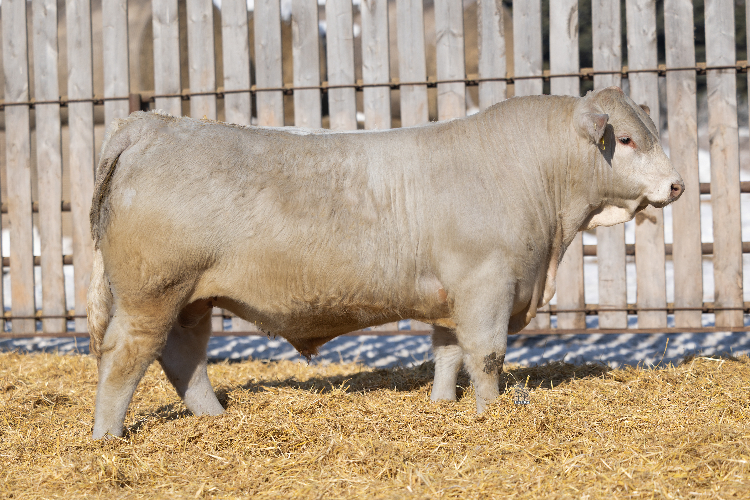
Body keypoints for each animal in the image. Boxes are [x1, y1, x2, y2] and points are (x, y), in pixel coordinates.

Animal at [87, 87, 684, 438]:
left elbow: (447, 354)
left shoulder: (453, 293)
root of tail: (152, 124)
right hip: (151, 293)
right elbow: (486, 356)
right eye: (625, 139)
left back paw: (214, 418)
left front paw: (442, 405)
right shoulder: (487, 284)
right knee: (125, 356)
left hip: (192, 299)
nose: (678, 185)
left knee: (182, 356)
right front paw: (490, 414)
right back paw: (108, 437)